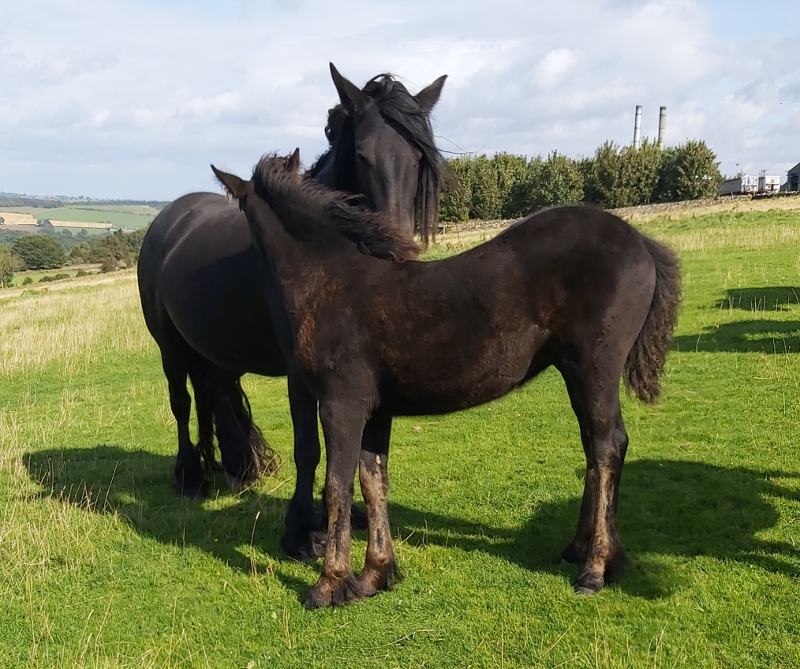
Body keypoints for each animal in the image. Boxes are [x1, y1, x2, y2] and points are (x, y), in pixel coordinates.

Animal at [140, 65, 446, 548]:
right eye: (362, 155)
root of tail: (170, 218)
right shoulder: (299, 369)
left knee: (211, 389)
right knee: (181, 401)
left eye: (419, 158)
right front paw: (302, 531)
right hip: (169, 346)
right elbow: (309, 446)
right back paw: (190, 475)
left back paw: (234, 465)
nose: (397, 254)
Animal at [212, 151, 680, 604]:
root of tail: (640, 241)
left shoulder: (341, 406)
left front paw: (329, 584)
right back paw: (584, 550)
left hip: (595, 369)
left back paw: (595, 569)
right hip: (574, 373)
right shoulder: (375, 411)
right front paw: (375, 575)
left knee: (608, 446)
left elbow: (337, 487)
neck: (331, 280)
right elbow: (373, 480)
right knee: (594, 449)